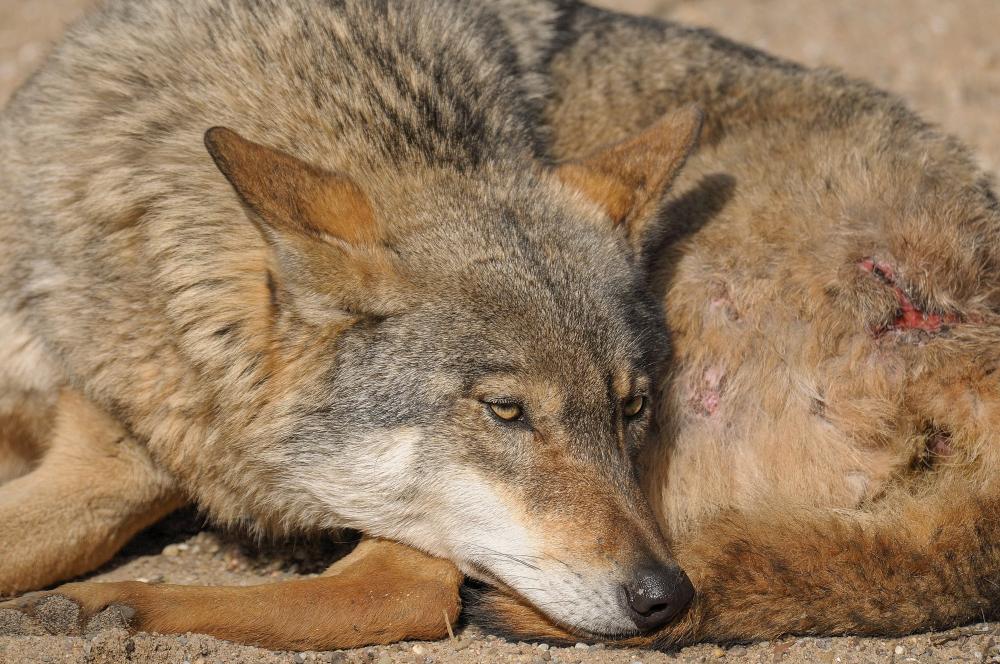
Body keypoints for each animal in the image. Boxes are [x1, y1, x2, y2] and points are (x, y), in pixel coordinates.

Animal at [0, 0, 706, 647]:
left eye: (632, 407)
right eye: (506, 410)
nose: (665, 596)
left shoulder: (122, 468)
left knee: (402, 593)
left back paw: (100, 607)